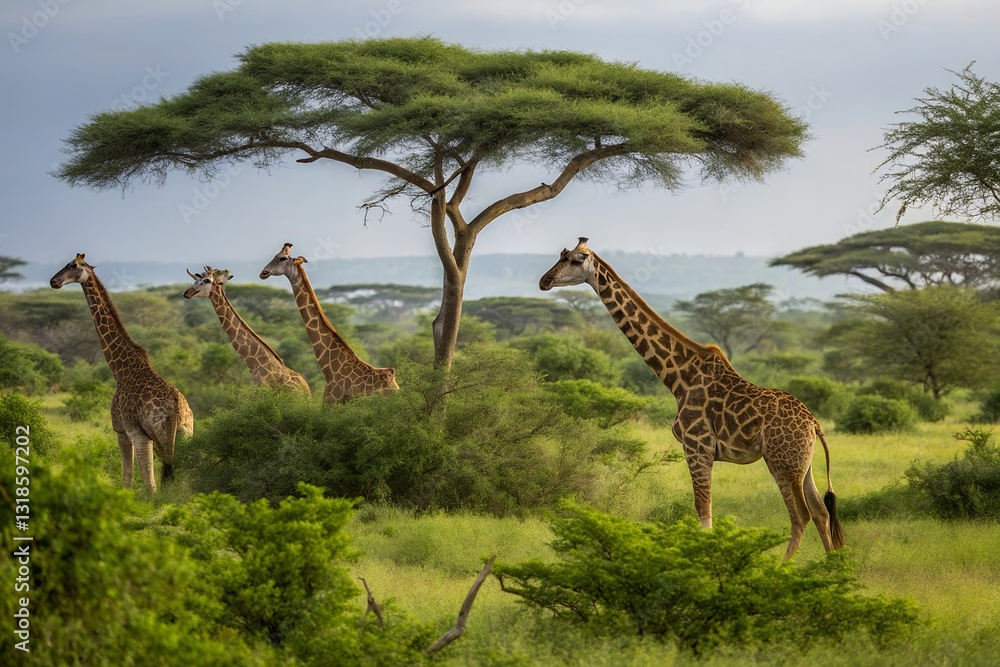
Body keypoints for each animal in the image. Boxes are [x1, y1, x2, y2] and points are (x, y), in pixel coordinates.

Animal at [50, 254, 194, 492]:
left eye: (73, 265)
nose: (54, 282)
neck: (120, 369)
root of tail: (175, 407)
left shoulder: (123, 430)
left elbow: (127, 478)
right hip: (185, 433)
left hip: (150, 435)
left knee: (151, 486)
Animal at [539, 238, 844, 559]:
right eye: (561, 255)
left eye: (576, 259)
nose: (544, 281)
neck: (678, 378)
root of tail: (813, 424)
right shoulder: (700, 451)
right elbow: (705, 512)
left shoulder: (697, 448)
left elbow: (704, 513)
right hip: (802, 463)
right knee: (821, 512)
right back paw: (831, 566)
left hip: (781, 461)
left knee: (801, 515)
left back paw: (782, 566)